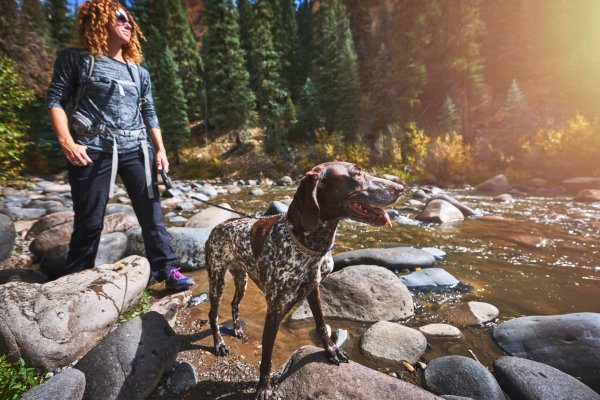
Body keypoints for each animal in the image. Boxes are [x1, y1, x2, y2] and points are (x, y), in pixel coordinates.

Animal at [204, 161, 406, 398]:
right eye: (357, 174)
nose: (400, 188)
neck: (308, 246)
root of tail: (218, 226)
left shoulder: (313, 290)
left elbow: (321, 325)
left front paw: (332, 350)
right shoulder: (274, 312)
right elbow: (266, 357)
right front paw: (264, 387)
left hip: (241, 280)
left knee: (234, 304)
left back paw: (236, 328)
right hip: (217, 280)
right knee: (213, 315)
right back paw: (219, 344)